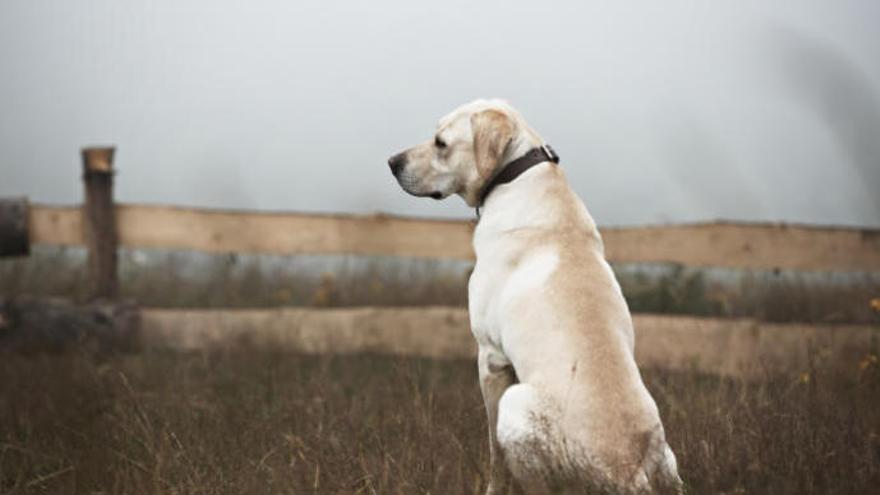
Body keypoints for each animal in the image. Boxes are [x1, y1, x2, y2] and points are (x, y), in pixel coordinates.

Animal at [388, 99, 684, 494]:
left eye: (441, 143)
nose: (392, 162)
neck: (515, 175)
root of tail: (630, 474)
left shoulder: (491, 358)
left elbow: (495, 454)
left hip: (517, 405)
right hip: (667, 455)